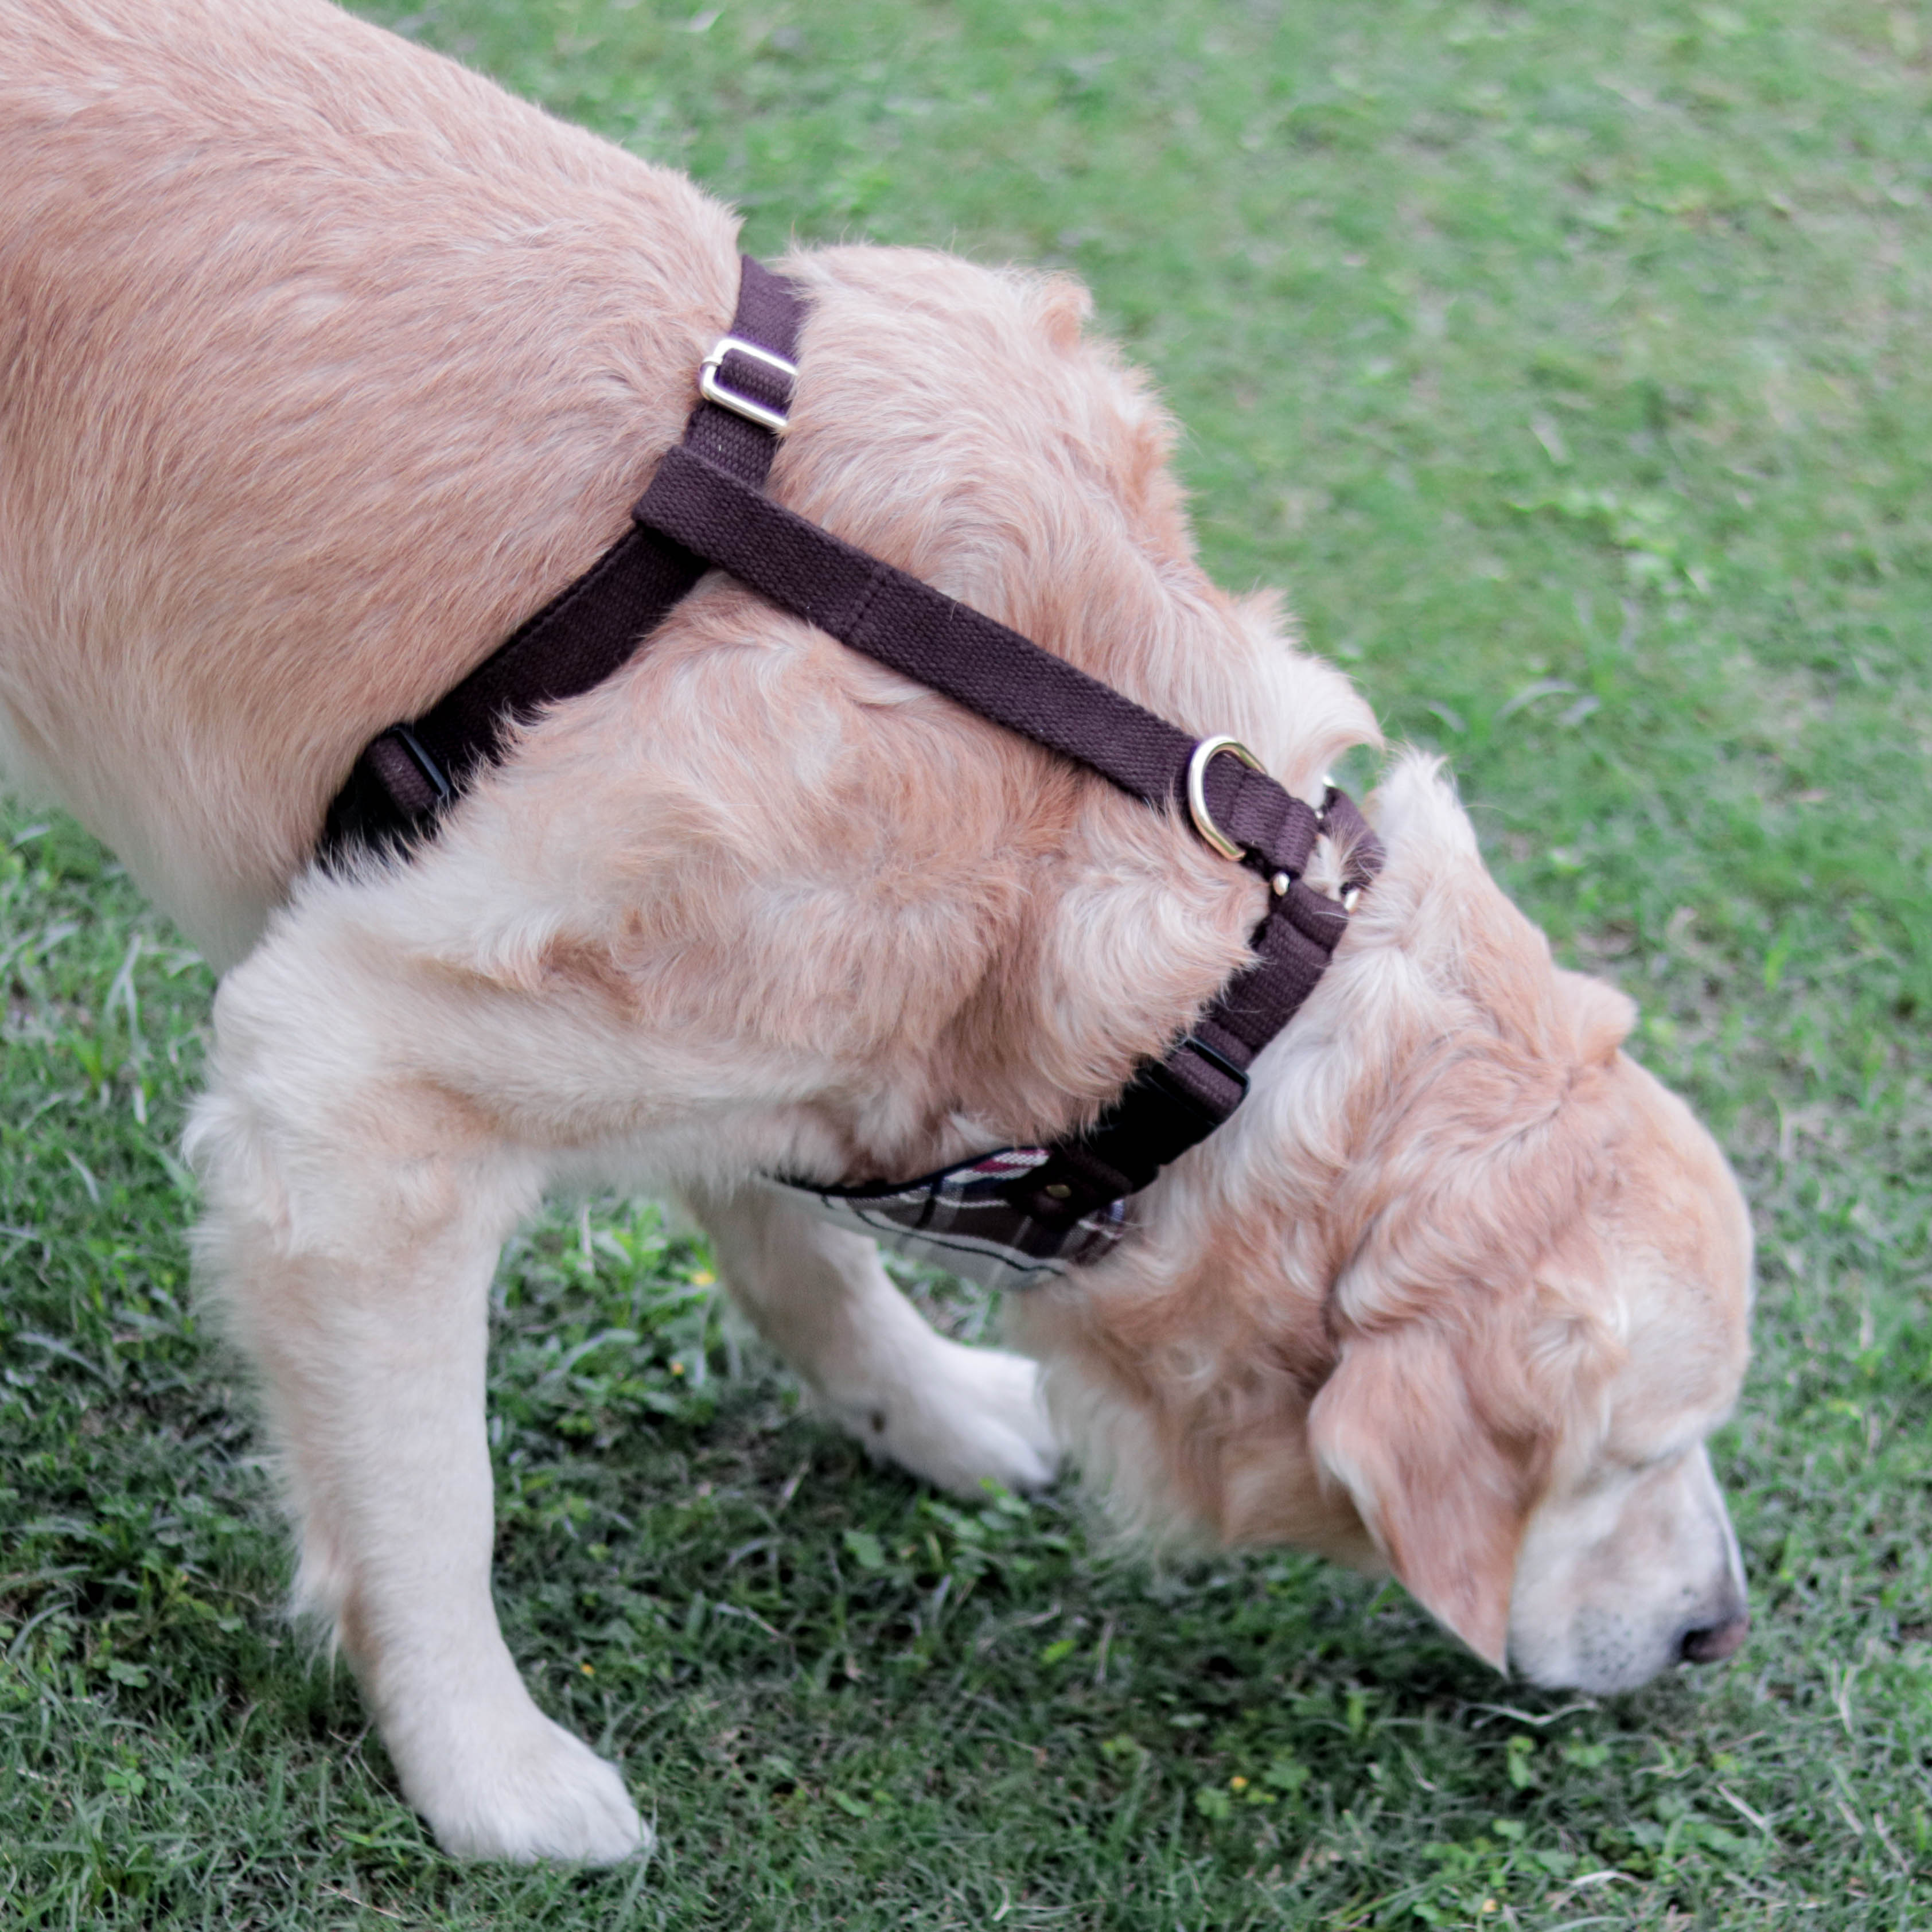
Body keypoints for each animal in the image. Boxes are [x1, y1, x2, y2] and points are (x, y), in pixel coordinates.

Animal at [0, 0, 1754, 1862]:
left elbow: (800, 1245)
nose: (1719, 1628)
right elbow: (431, 1498)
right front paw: (488, 1770)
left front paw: (922, 1404)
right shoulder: (350, 1080)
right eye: (1635, 1454)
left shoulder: (760, 1045)